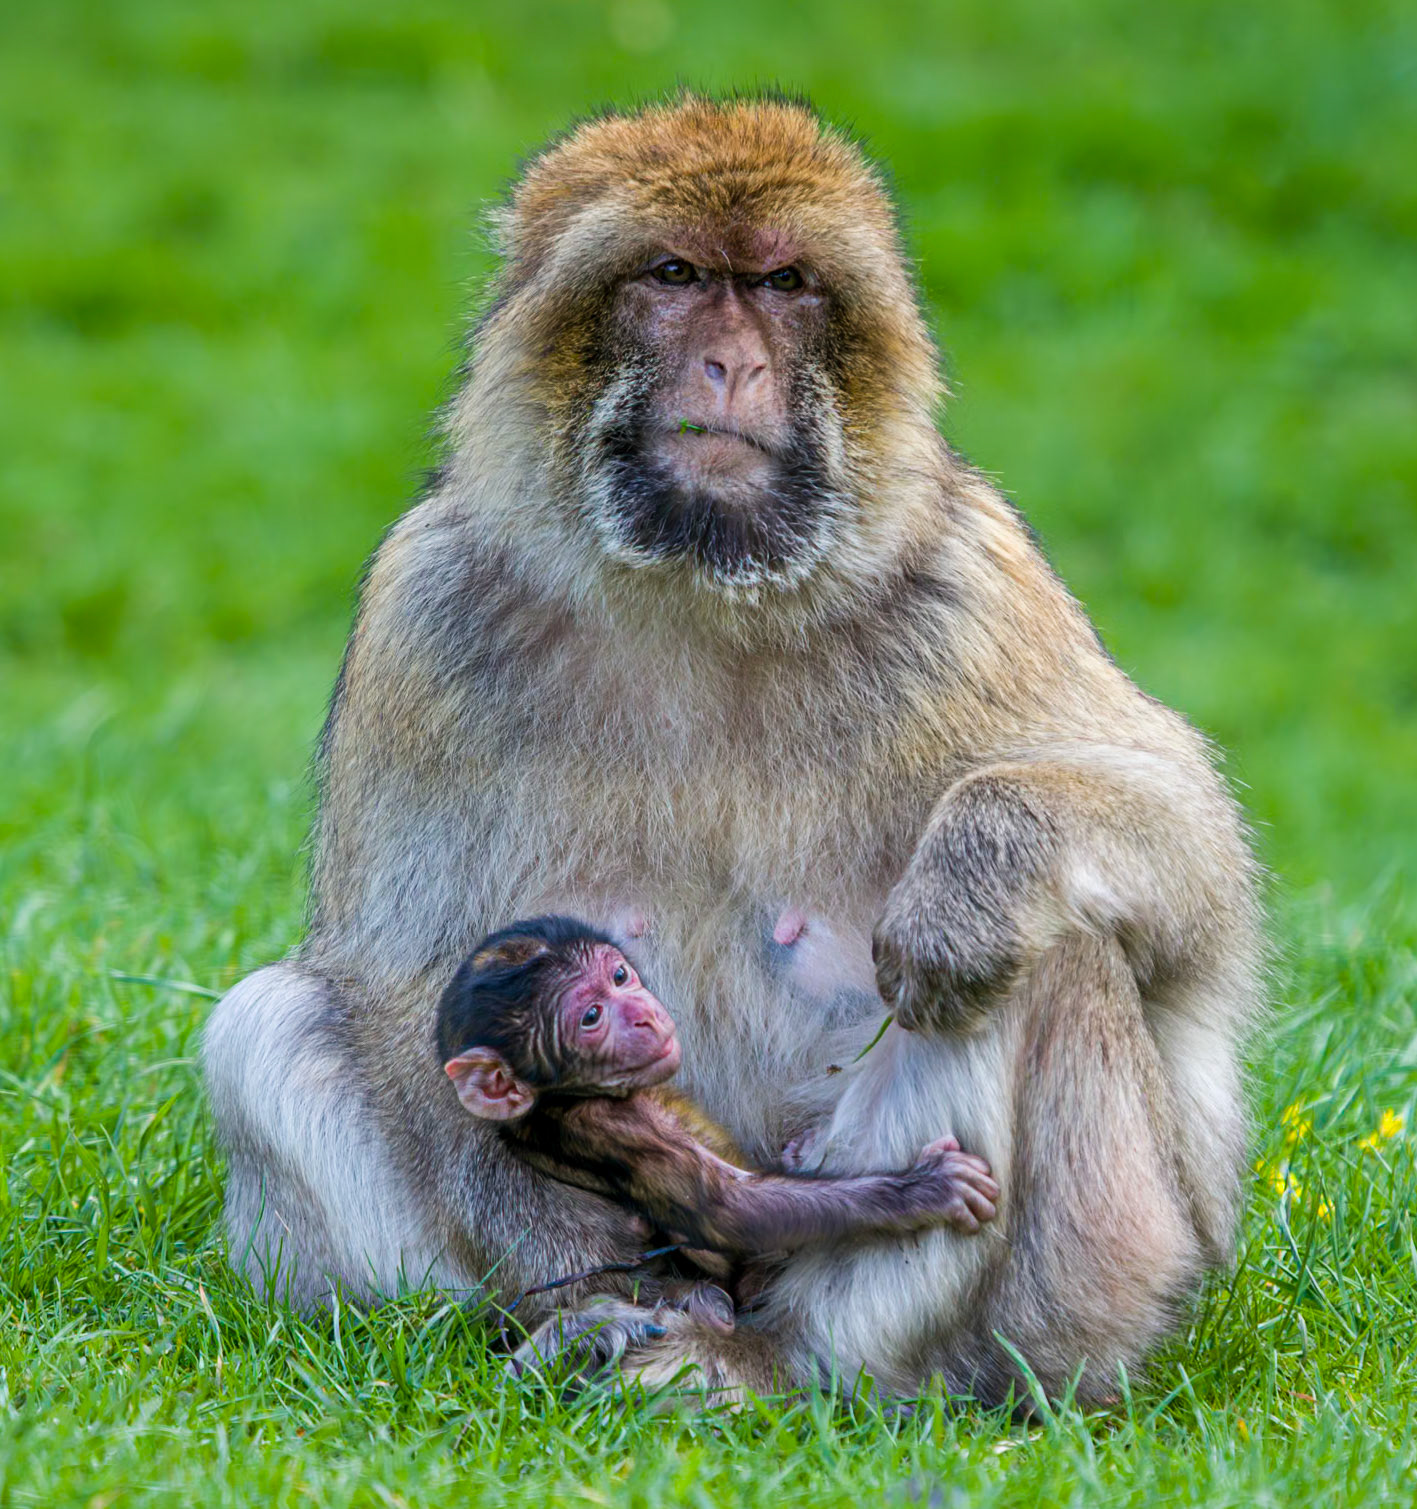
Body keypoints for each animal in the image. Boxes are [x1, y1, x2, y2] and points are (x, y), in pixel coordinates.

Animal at [436, 917, 1000, 1284]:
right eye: (591, 1017)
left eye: (619, 976)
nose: (644, 1015)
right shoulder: (618, 1129)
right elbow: (733, 1213)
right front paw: (922, 1191)